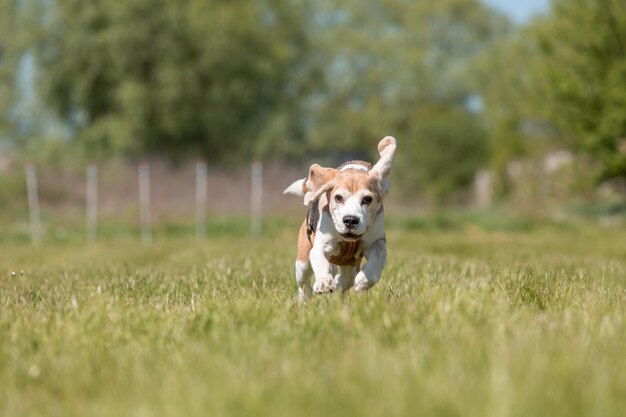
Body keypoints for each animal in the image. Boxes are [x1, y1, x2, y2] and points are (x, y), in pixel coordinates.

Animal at [282, 137, 394, 302]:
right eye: (338, 197)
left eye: (367, 199)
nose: (350, 220)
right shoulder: (322, 244)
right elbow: (321, 261)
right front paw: (323, 282)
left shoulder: (376, 241)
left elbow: (378, 254)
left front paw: (364, 281)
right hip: (302, 262)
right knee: (304, 284)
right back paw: (305, 299)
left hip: (350, 264)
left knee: (346, 280)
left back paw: (339, 284)